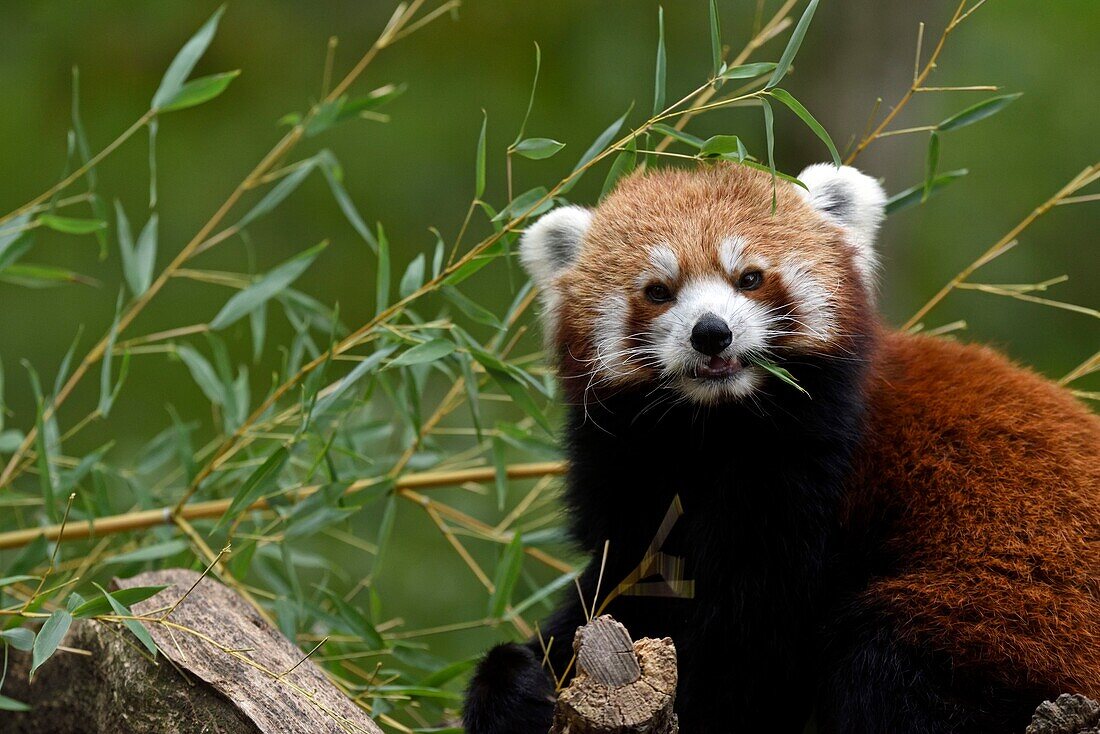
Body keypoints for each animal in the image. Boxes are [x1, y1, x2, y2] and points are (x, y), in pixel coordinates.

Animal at [459, 161, 1095, 734]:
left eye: (750, 277)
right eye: (658, 291)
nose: (711, 332)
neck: (715, 430)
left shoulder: (812, 486)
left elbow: (750, 644)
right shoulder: (636, 483)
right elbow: (623, 591)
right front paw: (516, 684)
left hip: (1001, 620)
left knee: (884, 663)